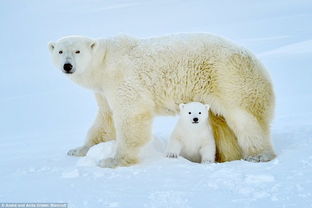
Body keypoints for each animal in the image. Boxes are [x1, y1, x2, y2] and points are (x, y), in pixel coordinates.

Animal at [48, 33, 276, 167]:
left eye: (77, 51)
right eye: (60, 51)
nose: (68, 66)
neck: (104, 63)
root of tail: (255, 61)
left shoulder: (122, 79)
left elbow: (131, 114)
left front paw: (112, 160)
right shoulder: (103, 90)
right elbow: (106, 120)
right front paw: (78, 150)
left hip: (228, 79)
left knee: (244, 119)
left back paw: (258, 155)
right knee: (221, 123)